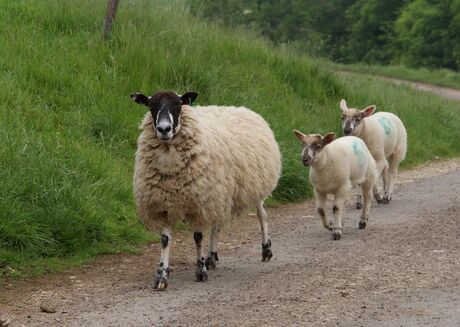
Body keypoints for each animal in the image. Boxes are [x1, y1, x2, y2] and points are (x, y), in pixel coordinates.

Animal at [129, 91, 280, 290]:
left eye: (179, 105)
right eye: (151, 105)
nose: (164, 129)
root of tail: (243, 109)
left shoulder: (198, 202)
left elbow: (198, 236)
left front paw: (200, 271)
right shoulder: (165, 203)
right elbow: (165, 240)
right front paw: (162, 275)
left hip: (254, 184)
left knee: (262, 215)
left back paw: (266, 250)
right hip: (218, 193)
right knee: (216, 224)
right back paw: (211, 257)